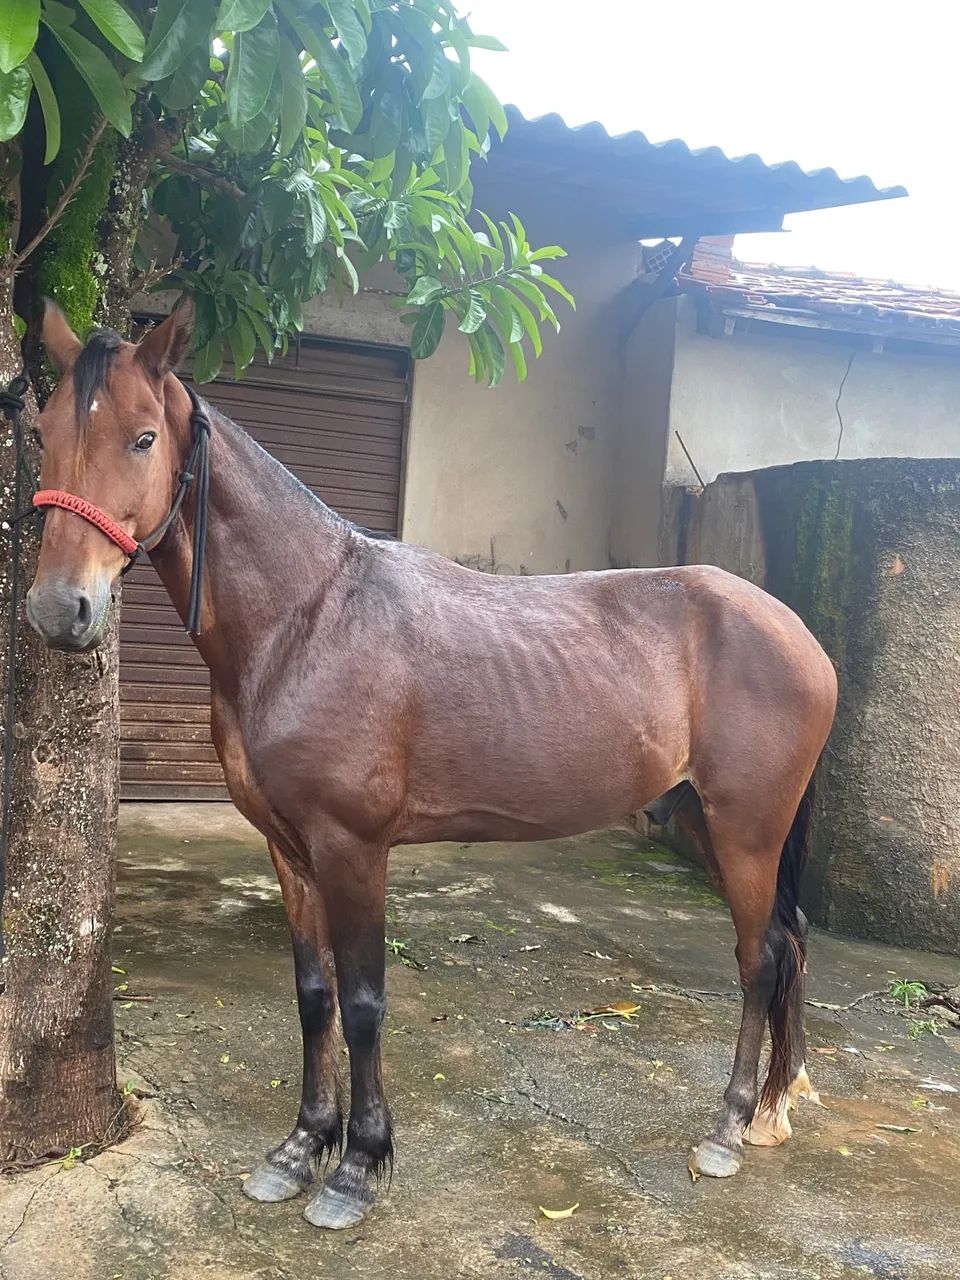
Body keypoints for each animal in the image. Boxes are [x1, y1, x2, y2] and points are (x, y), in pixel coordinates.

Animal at [26, 299, 837, 1229]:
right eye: (43, 429)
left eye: (144, 437)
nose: (59, 608)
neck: (306, 619)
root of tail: (799, 634)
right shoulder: (288, 849)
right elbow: (314, 997)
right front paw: (300, 1147)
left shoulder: (353, 848)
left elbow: (364, 1003)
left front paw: (356, 1167)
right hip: (706, 824)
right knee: (785, 943)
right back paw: (773, 1108)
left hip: (745, 831)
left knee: (758, 961)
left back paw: (730, 1127)